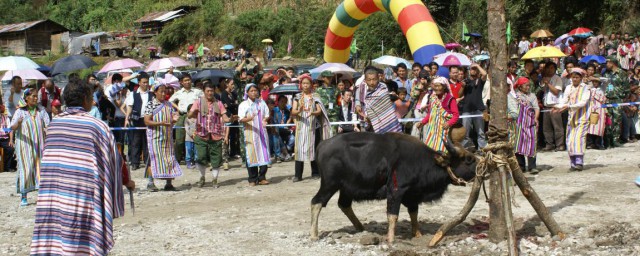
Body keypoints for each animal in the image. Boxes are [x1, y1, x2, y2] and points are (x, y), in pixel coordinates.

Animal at [308, 133, 478, 243]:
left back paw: (360, 227)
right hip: (329, 185)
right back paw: (314, 235)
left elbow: (414, 213)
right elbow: (393, 215)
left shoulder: (412, 195)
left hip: (346, 188)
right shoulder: (396, 191)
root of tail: (323, 144)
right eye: (468, 159)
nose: (481, 165)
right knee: (316, 202)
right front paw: (390, 239)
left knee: (344, 204)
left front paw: (417, 233)